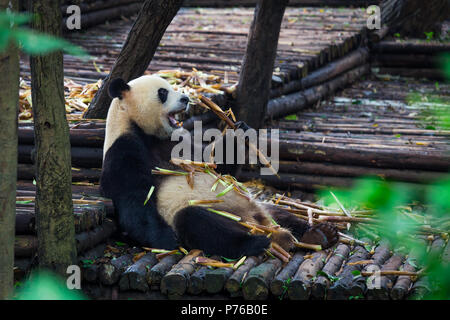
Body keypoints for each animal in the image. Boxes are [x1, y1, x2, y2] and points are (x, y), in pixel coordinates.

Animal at [99, 75, 338, 260]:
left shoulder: (178, 142)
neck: (144, 132)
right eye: (163, 92)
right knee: (199, 222)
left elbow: (215, 165)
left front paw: (240, 132)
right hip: (217, 214)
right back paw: (256, 242)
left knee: (280, 213)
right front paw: (166, 240)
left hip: (262, 210)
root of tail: (255, 221)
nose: (185, 98)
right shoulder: (124, 150)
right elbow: (135, 201)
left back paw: (319, 233)